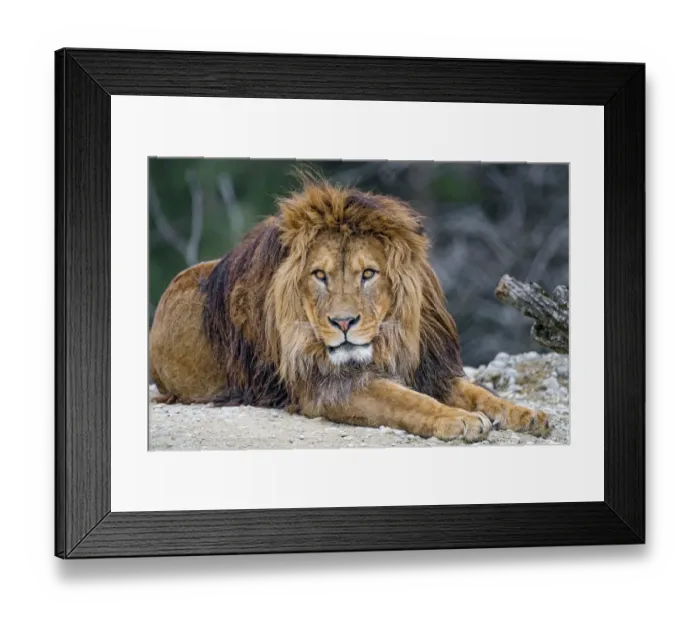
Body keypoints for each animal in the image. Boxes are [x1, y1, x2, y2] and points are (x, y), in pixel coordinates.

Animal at [149, 180, 551, 442]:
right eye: (319, 275)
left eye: (368, 274)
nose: (343, 322)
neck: (389, 339)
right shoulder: (329, 386)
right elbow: (406, 400)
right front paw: (459, 419)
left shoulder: (431, 368)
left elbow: (480, 393)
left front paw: (527, 414)